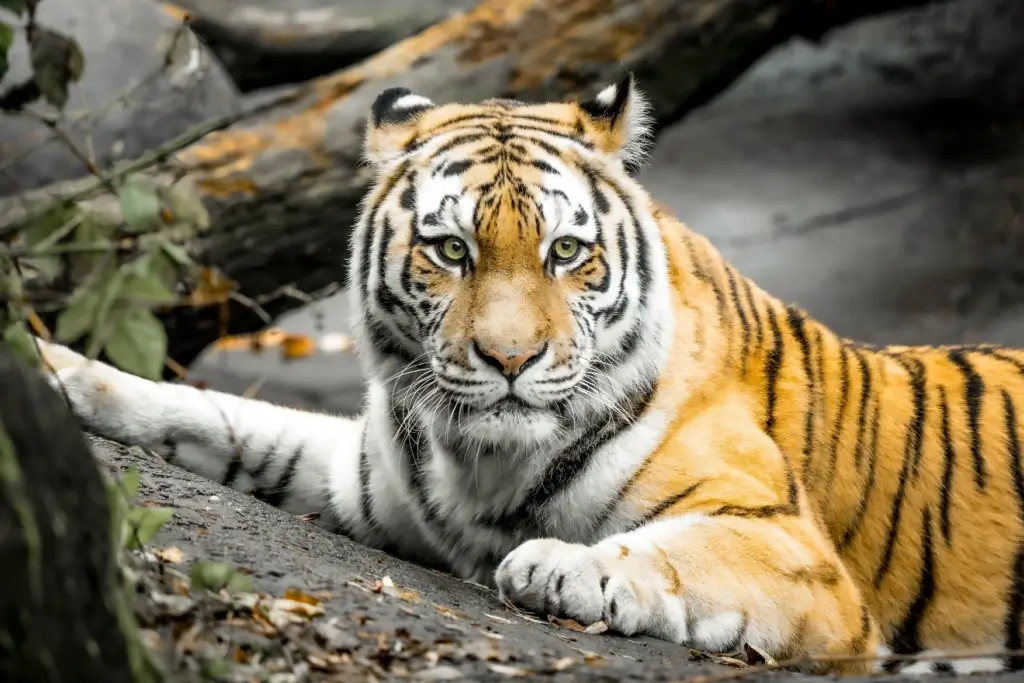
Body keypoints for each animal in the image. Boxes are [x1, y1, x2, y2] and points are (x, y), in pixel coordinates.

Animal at [36, 76, 1024, 679]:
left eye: (566, 253)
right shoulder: (365, 472)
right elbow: (223, 417)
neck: (475, 457)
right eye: (450, 250)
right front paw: (60, 373)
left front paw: (557, 564)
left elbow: (678, 549)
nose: (510, 361)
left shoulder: (794, 550)